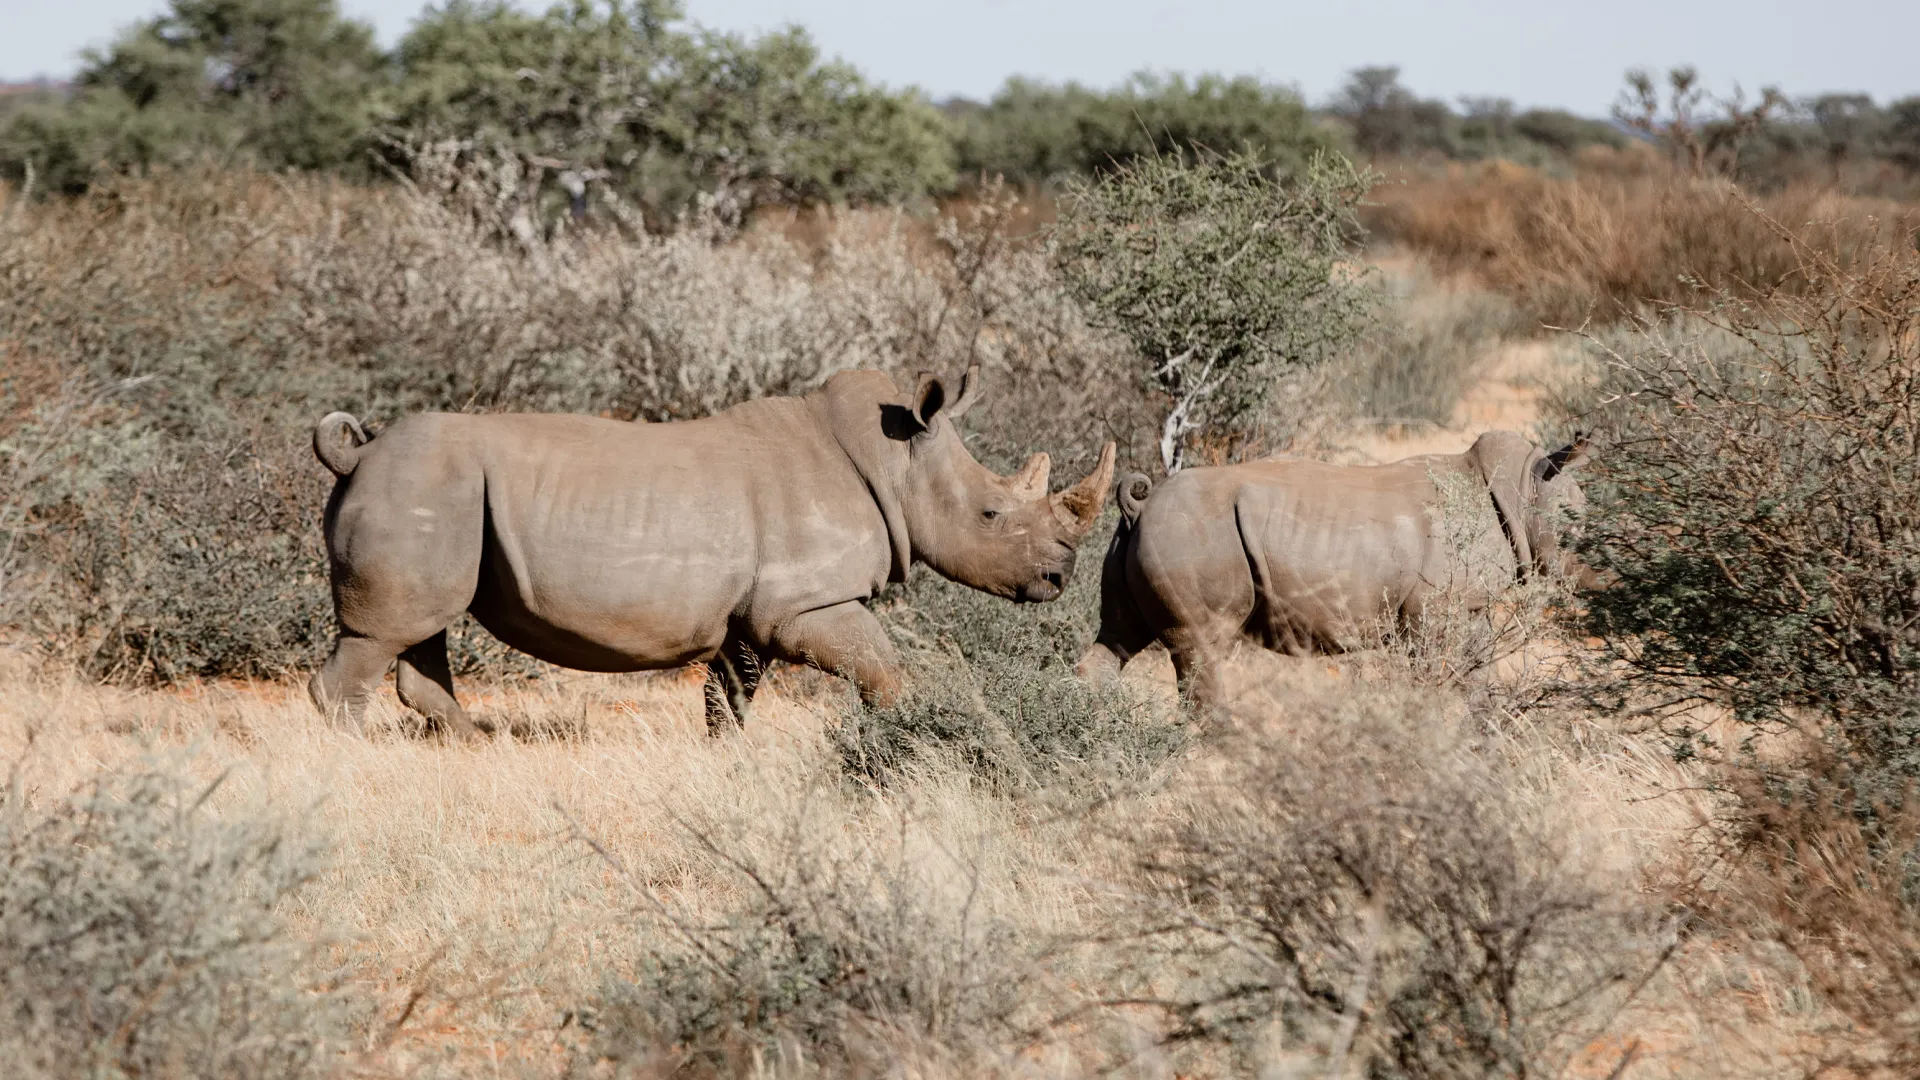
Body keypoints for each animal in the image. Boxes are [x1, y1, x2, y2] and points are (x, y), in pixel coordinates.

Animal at [309, 367, 1115, 737]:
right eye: (991, 514)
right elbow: (883, 668)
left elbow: (729, 698)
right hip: (423, 486)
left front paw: (725, 758)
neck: (895, 462)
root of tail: (358, 455)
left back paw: (474, 745)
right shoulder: (807, 603)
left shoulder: (748, 618)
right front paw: (903, 737)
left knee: (419, 629)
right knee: (382, 636)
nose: (1060, 575)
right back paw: (358, 758)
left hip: (439, 494)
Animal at [1074, 431, 1590, 715]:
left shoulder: (1470, 606)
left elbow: (1477, 676)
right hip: (1189, 537)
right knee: (1202, 648)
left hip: (1140, 540)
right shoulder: (1432, 613)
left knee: (1118, 639)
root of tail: (1139, 507)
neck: (1523, 486)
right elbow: (1442, 676)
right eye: (1578, 526)